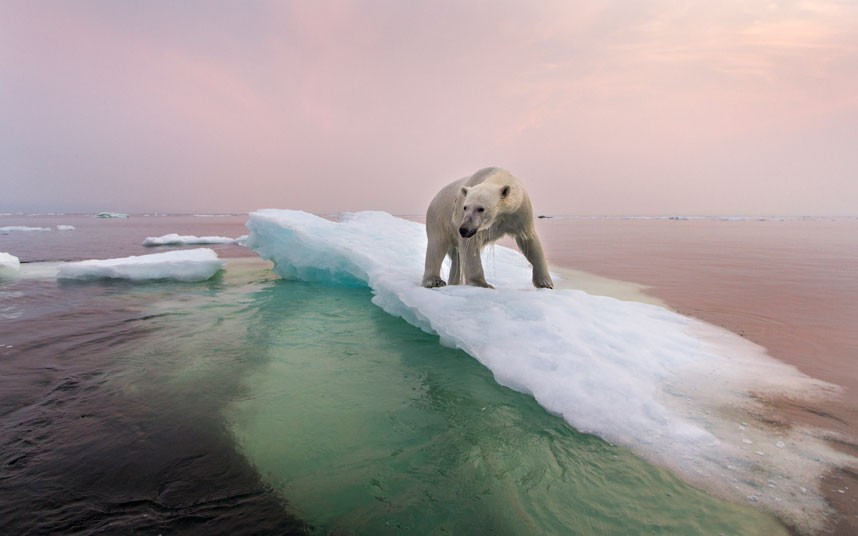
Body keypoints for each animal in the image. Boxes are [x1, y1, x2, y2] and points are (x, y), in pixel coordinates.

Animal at [421, 167, 554, 289]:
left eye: (481, 208)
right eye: (465, 207)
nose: (463, 229)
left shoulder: (519, 212)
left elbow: (529, 240)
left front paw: (546, 283)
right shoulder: (463, 218)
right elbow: (470, 246)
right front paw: (483, 284)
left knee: (456, 258)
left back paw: (454, 282)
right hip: (438, 218)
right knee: (437, 245)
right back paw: (434, 281)